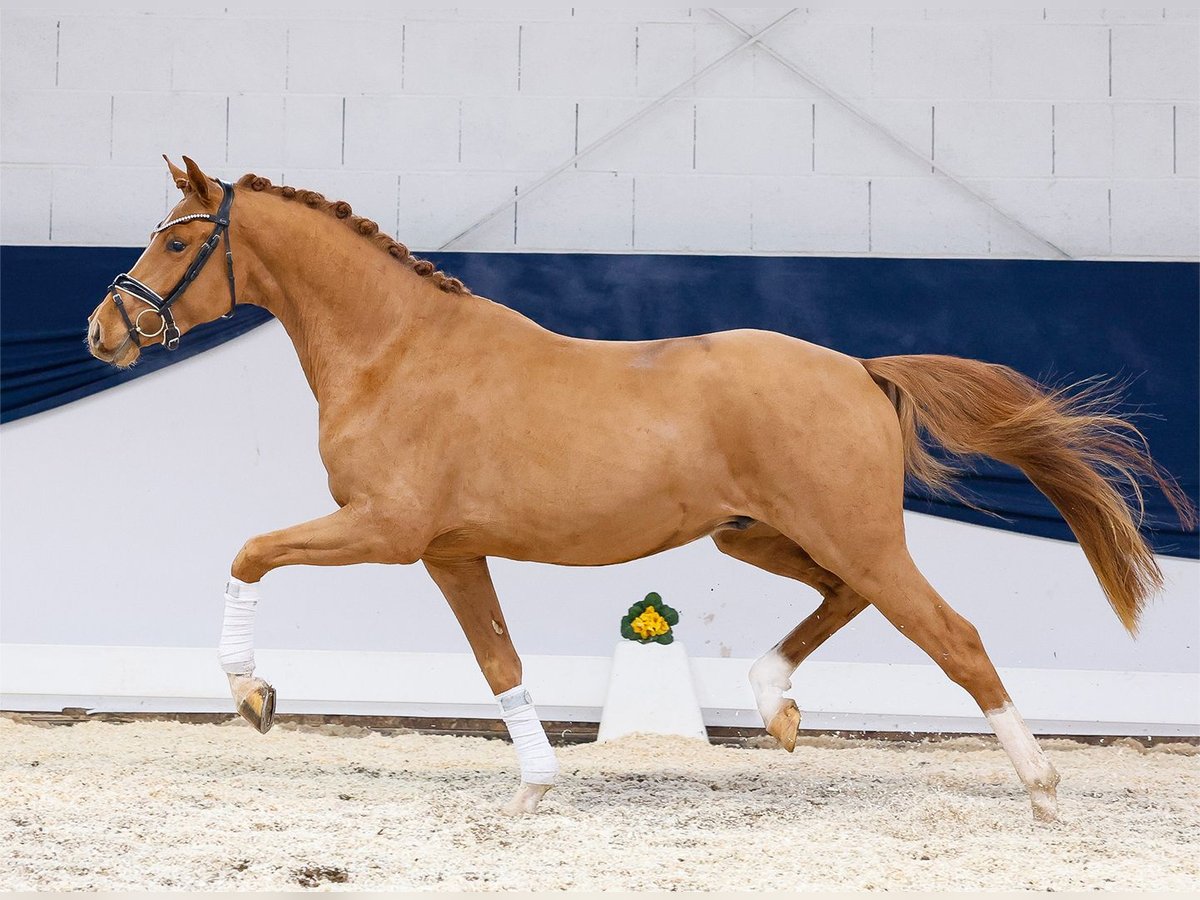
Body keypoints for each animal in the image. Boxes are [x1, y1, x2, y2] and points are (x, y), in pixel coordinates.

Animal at [84, 157, 1190, 825]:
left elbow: (248, 550)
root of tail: (860, 369)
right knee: (848, 600)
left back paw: (1041, 788)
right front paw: (535, 789)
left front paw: (254, 696)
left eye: (178, 240)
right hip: (759, 535)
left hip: (856, 534)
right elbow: (499, 663)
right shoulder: (449, 550)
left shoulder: (387, 529)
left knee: (953, 636)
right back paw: (776, 706)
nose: (103, 333)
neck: (396, 352)